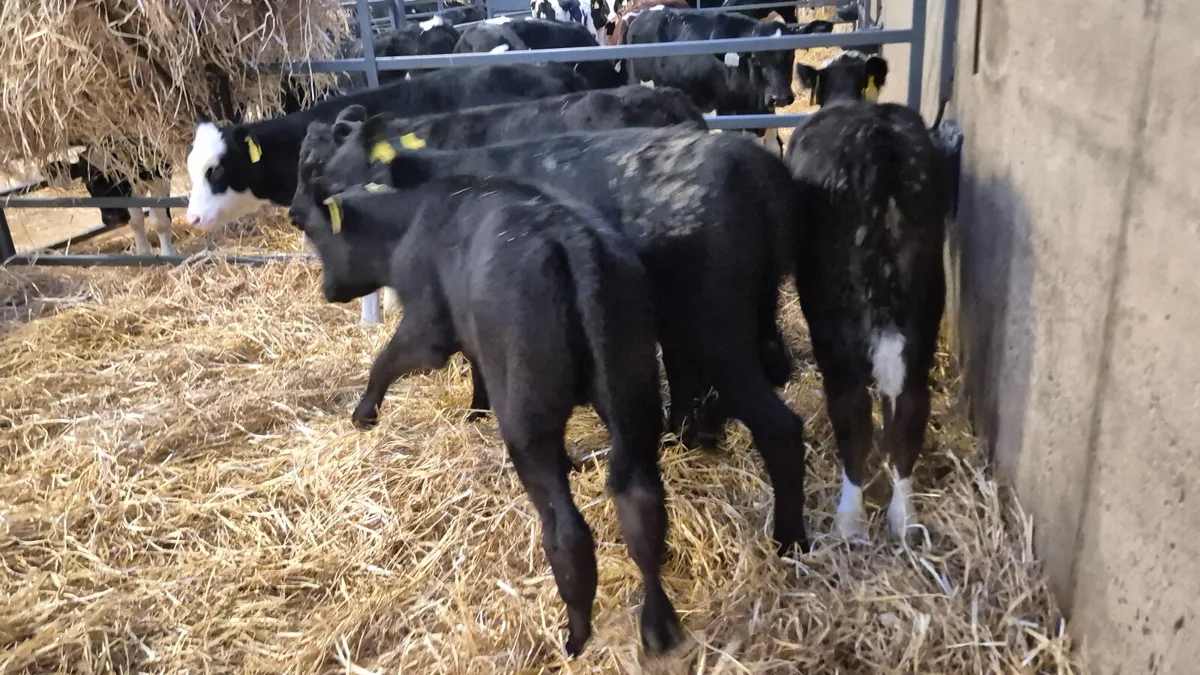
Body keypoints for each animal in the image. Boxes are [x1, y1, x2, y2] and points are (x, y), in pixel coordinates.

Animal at [290, 129, 683, 658]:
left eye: (315, 233)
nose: (326, 290)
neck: (412, 218)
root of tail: (573, 239)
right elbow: (475, 369)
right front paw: (475, 411)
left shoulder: (430, 325)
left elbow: (385, 361)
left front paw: (364, 413)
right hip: (632, 396)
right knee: (641, 506)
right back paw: (657, 626)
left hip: (528, 422)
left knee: (567, 532)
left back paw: (575, 635)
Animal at [306, 111, 809, 554]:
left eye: (334, 179)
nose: (298, 211)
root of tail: (753, 162)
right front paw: (477, 410)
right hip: (744, 321)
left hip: (717, 335)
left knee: (779, 426)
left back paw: (788, 540)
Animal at [783, 100, 949, 544]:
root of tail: (877, 137)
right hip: (925, 309)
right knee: (909, 406)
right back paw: (904, 519)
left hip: (833, 326)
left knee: (852, 411)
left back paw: (850, 521)